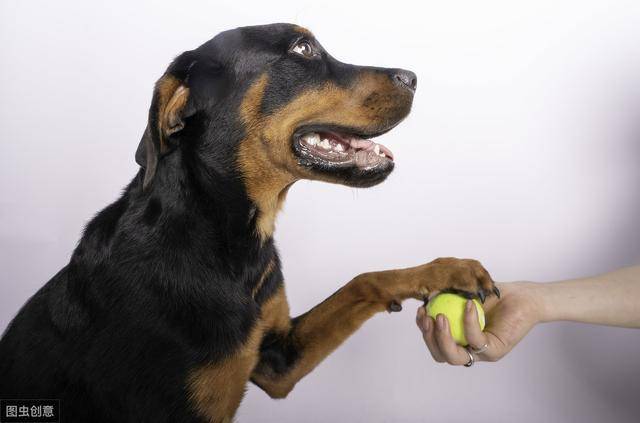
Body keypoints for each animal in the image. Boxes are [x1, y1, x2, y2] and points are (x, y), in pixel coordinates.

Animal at [0, 24, 498, 423]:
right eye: (302, 48)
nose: (413, 77)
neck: (231, 241)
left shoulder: (278, 359)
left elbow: (363, 280)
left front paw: (448, 270)